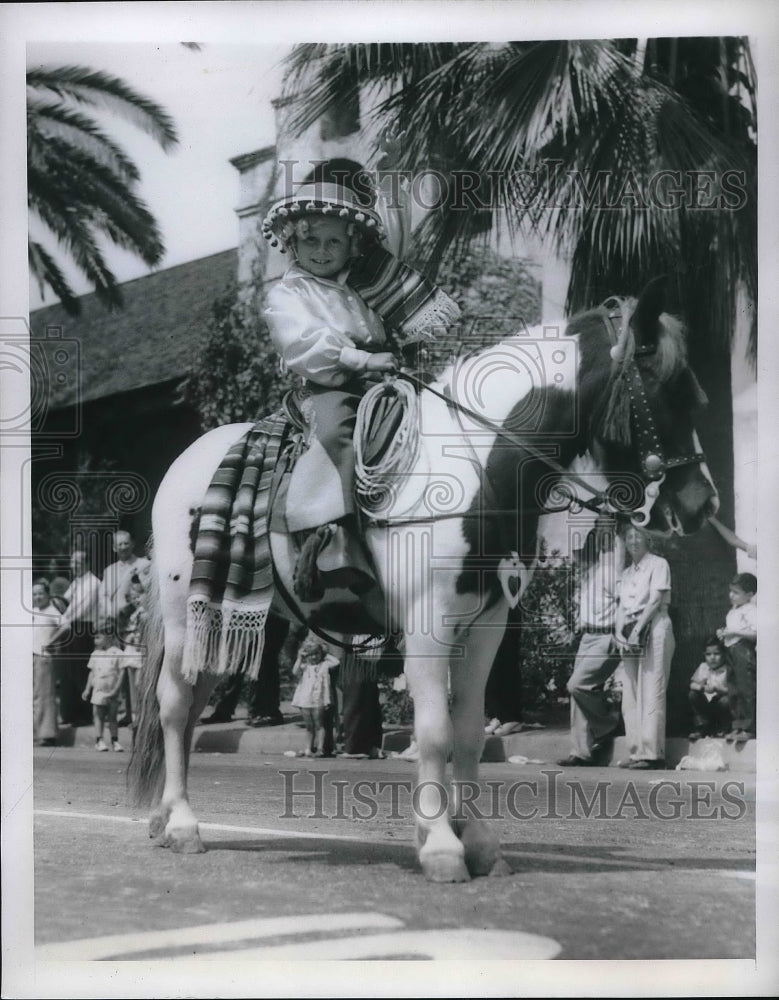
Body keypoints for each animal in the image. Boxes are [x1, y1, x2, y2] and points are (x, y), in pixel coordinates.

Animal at [128, 278, 720, 880]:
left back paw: (163, 816)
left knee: (192, 704)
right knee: (174, 706)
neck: (475, 467)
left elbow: (469, 733)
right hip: (185, 614)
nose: (704, 505)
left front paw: (478, 842)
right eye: (669, 390)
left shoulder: (486, 625)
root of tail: (185, 464)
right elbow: (435, 733)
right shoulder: (429, 627)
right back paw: (182, 824)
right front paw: (439, 845)